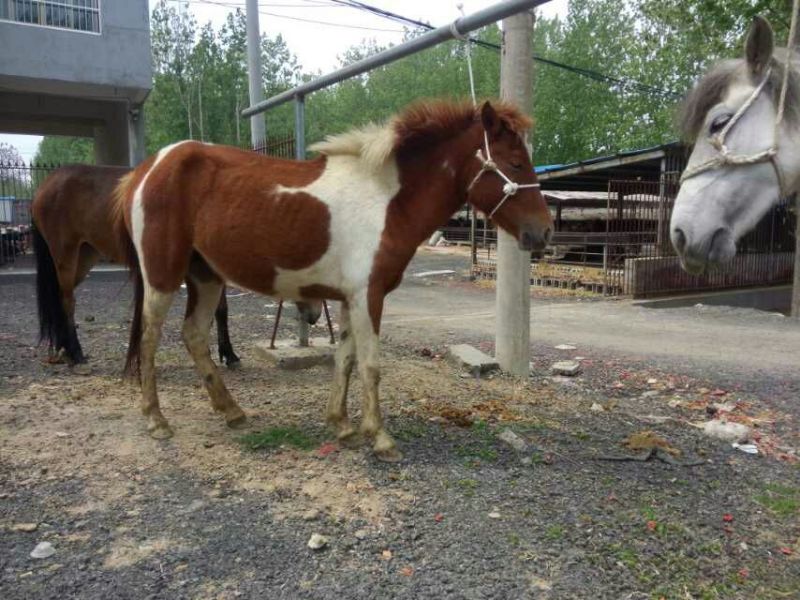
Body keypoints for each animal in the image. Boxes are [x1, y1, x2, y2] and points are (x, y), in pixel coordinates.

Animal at [31, 164, 241, 367]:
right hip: (65, 254)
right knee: (67, 301)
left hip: (85, 255)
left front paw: (229, 354)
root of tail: (46, 185)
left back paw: (63, 348)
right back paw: (75, 352)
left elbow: (221, 309)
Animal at [114, 99, 553, 462]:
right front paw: (380, 437)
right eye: (515, 162)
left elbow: (345, 359)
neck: (388, 200)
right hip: (163, 278)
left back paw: (232, 411)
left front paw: (342, 426)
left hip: (206, 278)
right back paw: (156, 420)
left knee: (193, 335)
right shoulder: (368, 296)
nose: (544, 232)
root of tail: (146, 170)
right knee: (150, 340)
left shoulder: (349, 299)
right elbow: (371, 365)